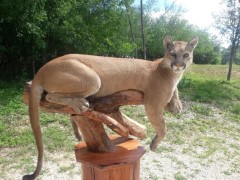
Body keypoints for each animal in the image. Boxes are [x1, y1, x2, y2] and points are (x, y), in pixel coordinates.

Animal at [22, 35, 199, 179]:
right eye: (173, 54)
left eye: (186, 55)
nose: (178, 65)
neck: (171, 72)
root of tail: (41, 70)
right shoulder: (153, 104)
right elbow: (163, 128)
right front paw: (154, 145)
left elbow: (176, 91)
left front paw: (176, 104)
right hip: (93, 79)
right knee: (49, 96)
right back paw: (80, 104)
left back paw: (78, 128)